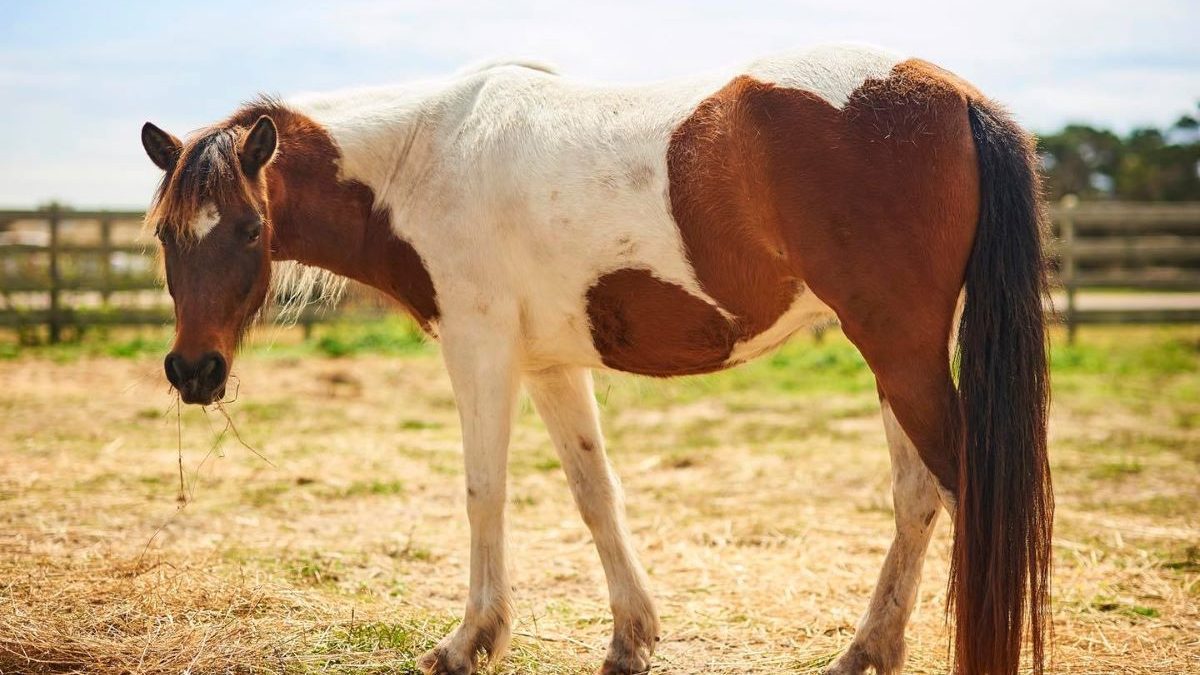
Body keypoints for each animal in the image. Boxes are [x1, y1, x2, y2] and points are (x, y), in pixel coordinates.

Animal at [140, 43, 1051, 672]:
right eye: (164, 234)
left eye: (249, 229)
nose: (193, 372)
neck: (422, 157)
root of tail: (957, 98)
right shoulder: (550, 366)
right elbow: (594, 494)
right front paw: (630, 637)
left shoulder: (481, 351)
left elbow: (484, 493)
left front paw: (467, 641)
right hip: (898, 357)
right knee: (917, 497)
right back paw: (865, 650)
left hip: (899, 350)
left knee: (959, 489)